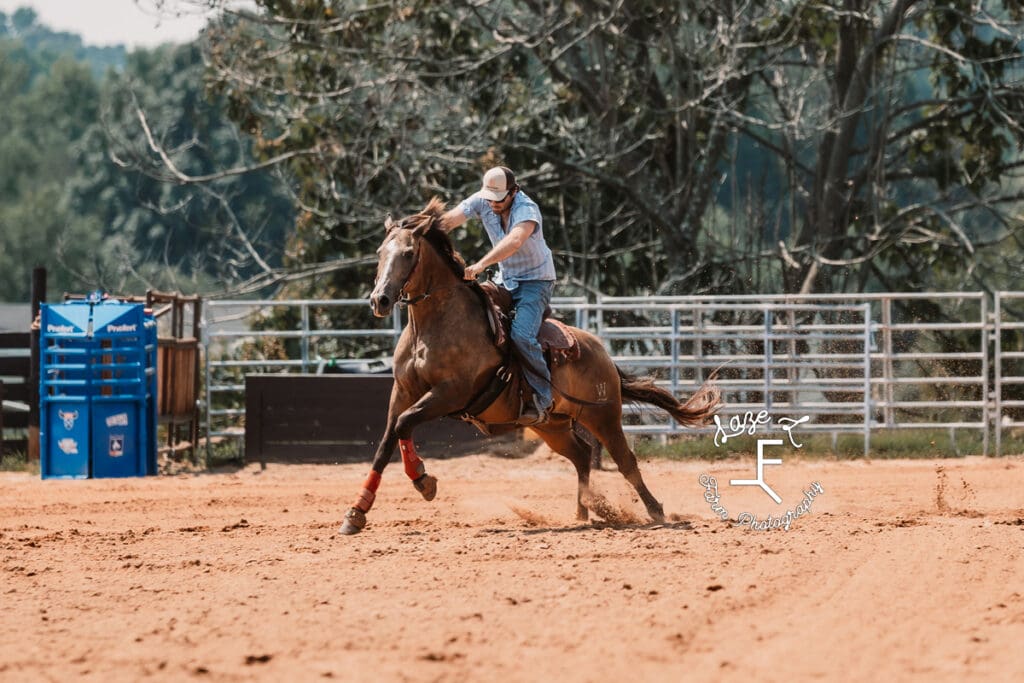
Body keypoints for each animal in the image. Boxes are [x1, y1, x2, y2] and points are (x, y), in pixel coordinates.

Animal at [339, 197, 724, 532]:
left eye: (408, 253)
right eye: (380, 253)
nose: (379, 300)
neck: (435, 324)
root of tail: (603, 353)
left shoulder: (451, 393)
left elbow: (405, 424)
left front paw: (424, 481)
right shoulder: (403, 391)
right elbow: (386, 442)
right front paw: (356, 513)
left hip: (603, 415)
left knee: (625, 460)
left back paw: (655, 511)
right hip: (553, 426)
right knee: (582, 455)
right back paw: (584, 512)